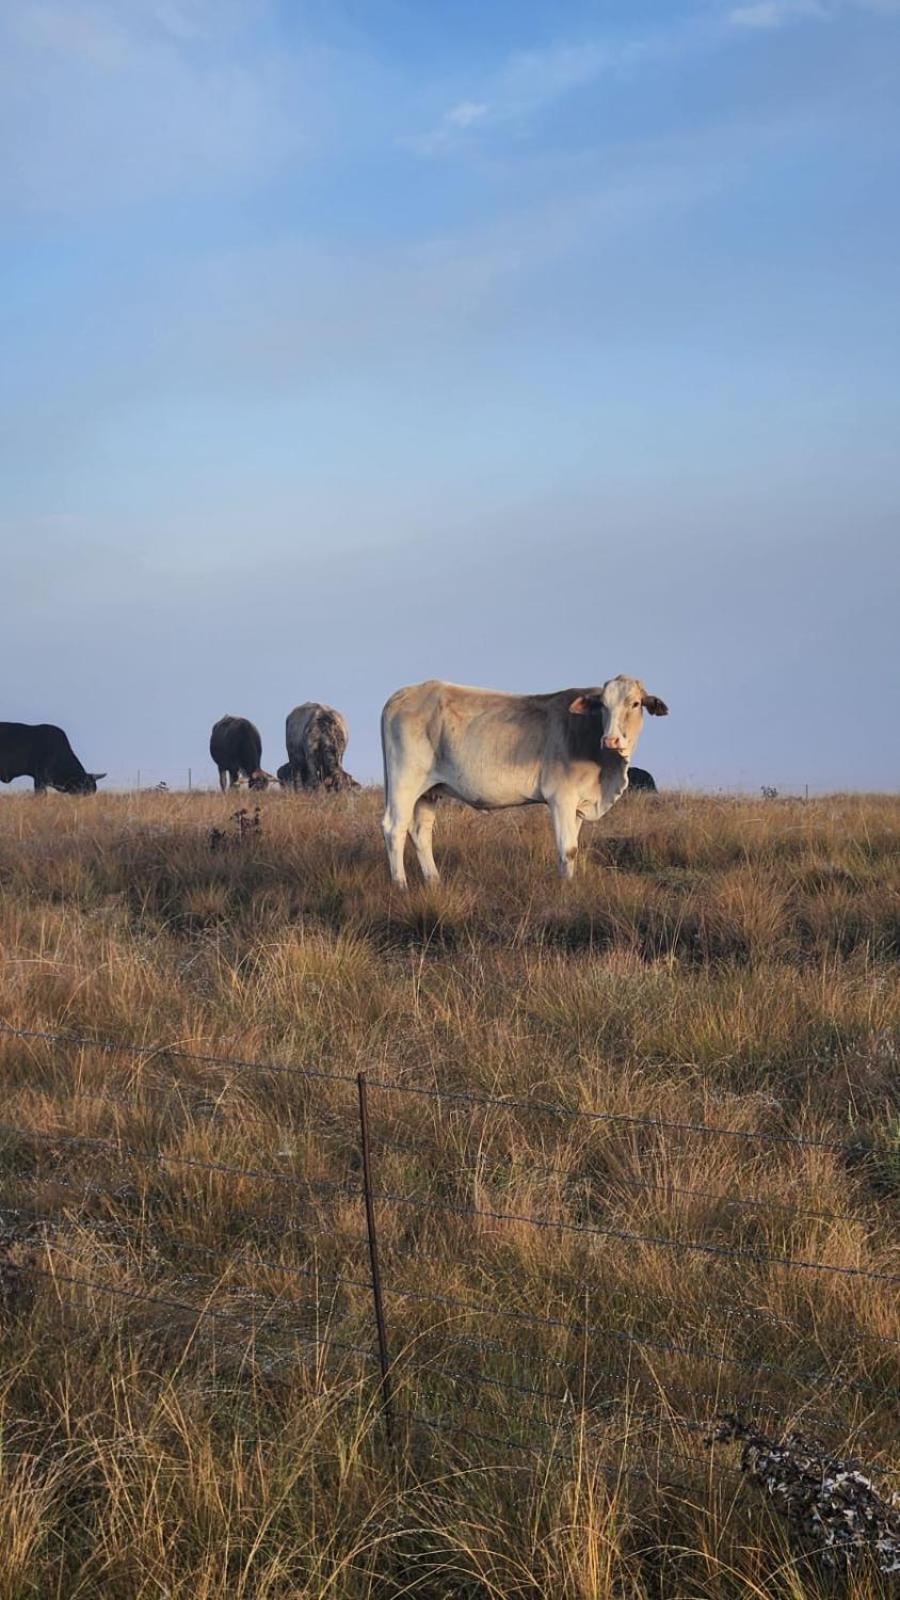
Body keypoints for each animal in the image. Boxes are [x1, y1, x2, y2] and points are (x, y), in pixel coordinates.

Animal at [377, 675, 666, 889]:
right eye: (604, 705)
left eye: (635, 703)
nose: (611, 739)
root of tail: (403, 694)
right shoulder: (561, 797)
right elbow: (567, 848)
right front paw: (566, 889)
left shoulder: (579, 805)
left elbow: (573, 846)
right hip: (405, 780)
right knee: (395, 828)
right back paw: (401, 885)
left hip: (428, 791)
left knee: (420, 832)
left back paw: (434, 881)